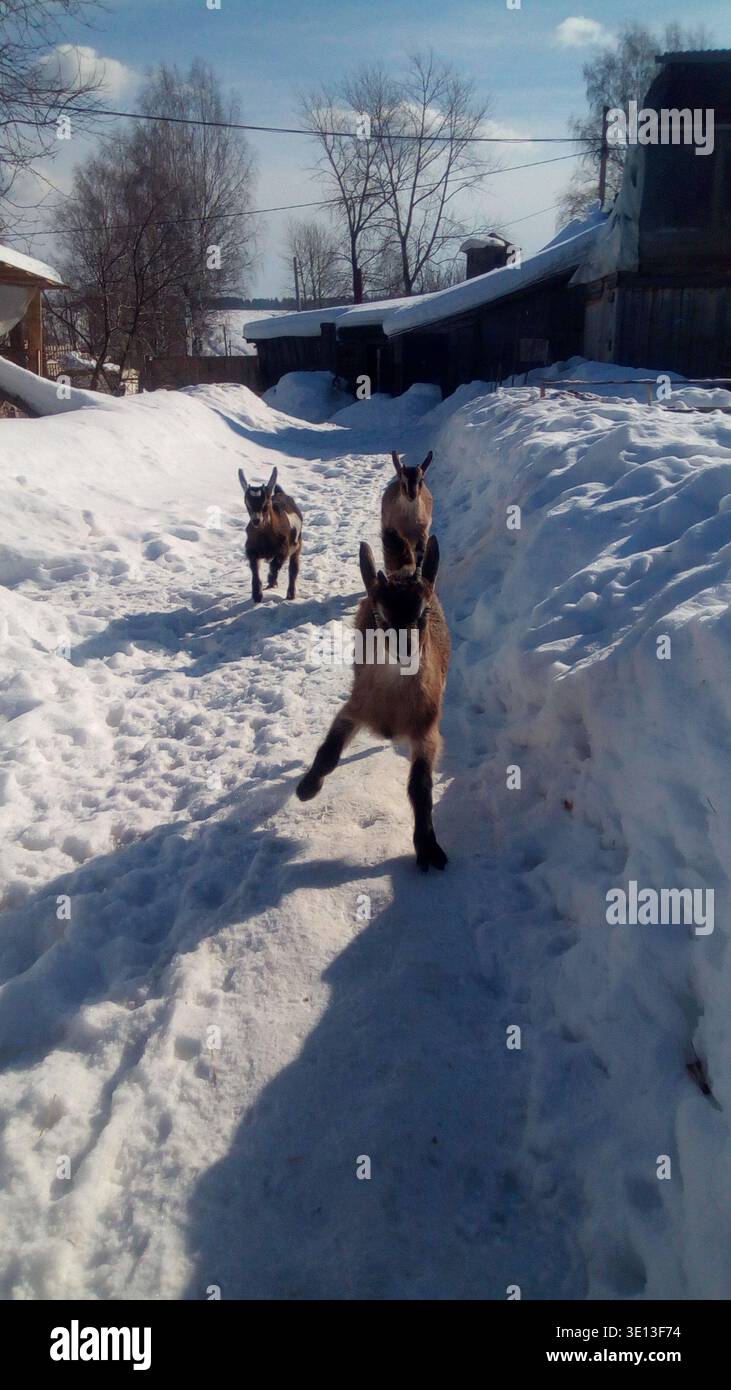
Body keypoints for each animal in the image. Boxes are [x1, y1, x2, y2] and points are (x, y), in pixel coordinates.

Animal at [238, 466, 303, 603]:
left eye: (266, 504)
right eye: (247, 504)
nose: (256, 520)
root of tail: (281, 493)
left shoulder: (284, 548)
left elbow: (275, 565)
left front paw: (271, 580)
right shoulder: (251, 550)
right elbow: (254, 569)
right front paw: (257, 594)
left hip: (298, 544)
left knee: (293, 568)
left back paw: (290, 594)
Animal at [296, 535, 451, 871]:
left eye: (423, 614)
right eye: (381, 618)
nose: (406, 651)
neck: (391, 707)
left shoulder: (427, 729)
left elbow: (420, 786)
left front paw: (428, 848)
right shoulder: (353, 708)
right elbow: (328, 753)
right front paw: (307, 788)